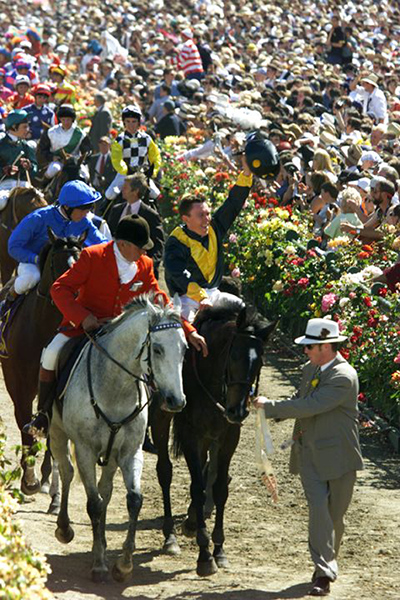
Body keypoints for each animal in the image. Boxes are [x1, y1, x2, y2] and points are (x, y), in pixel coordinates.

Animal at [0, 230, 87, 496]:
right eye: (57, 262)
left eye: (80, 260)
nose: (77, 297)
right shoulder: (19, 387)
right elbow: (24, 424)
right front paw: (28, 479)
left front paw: (47, 477)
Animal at [152, 304, 276, 576]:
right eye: (234, 355)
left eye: (260, 361)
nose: (238, 410)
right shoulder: (191, 435)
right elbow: (197, 488)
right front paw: (204, 554)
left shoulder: (228, 436)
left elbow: (220, 488)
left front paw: (219, 548)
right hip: (162, 419)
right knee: (164, 471)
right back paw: (170, 536)